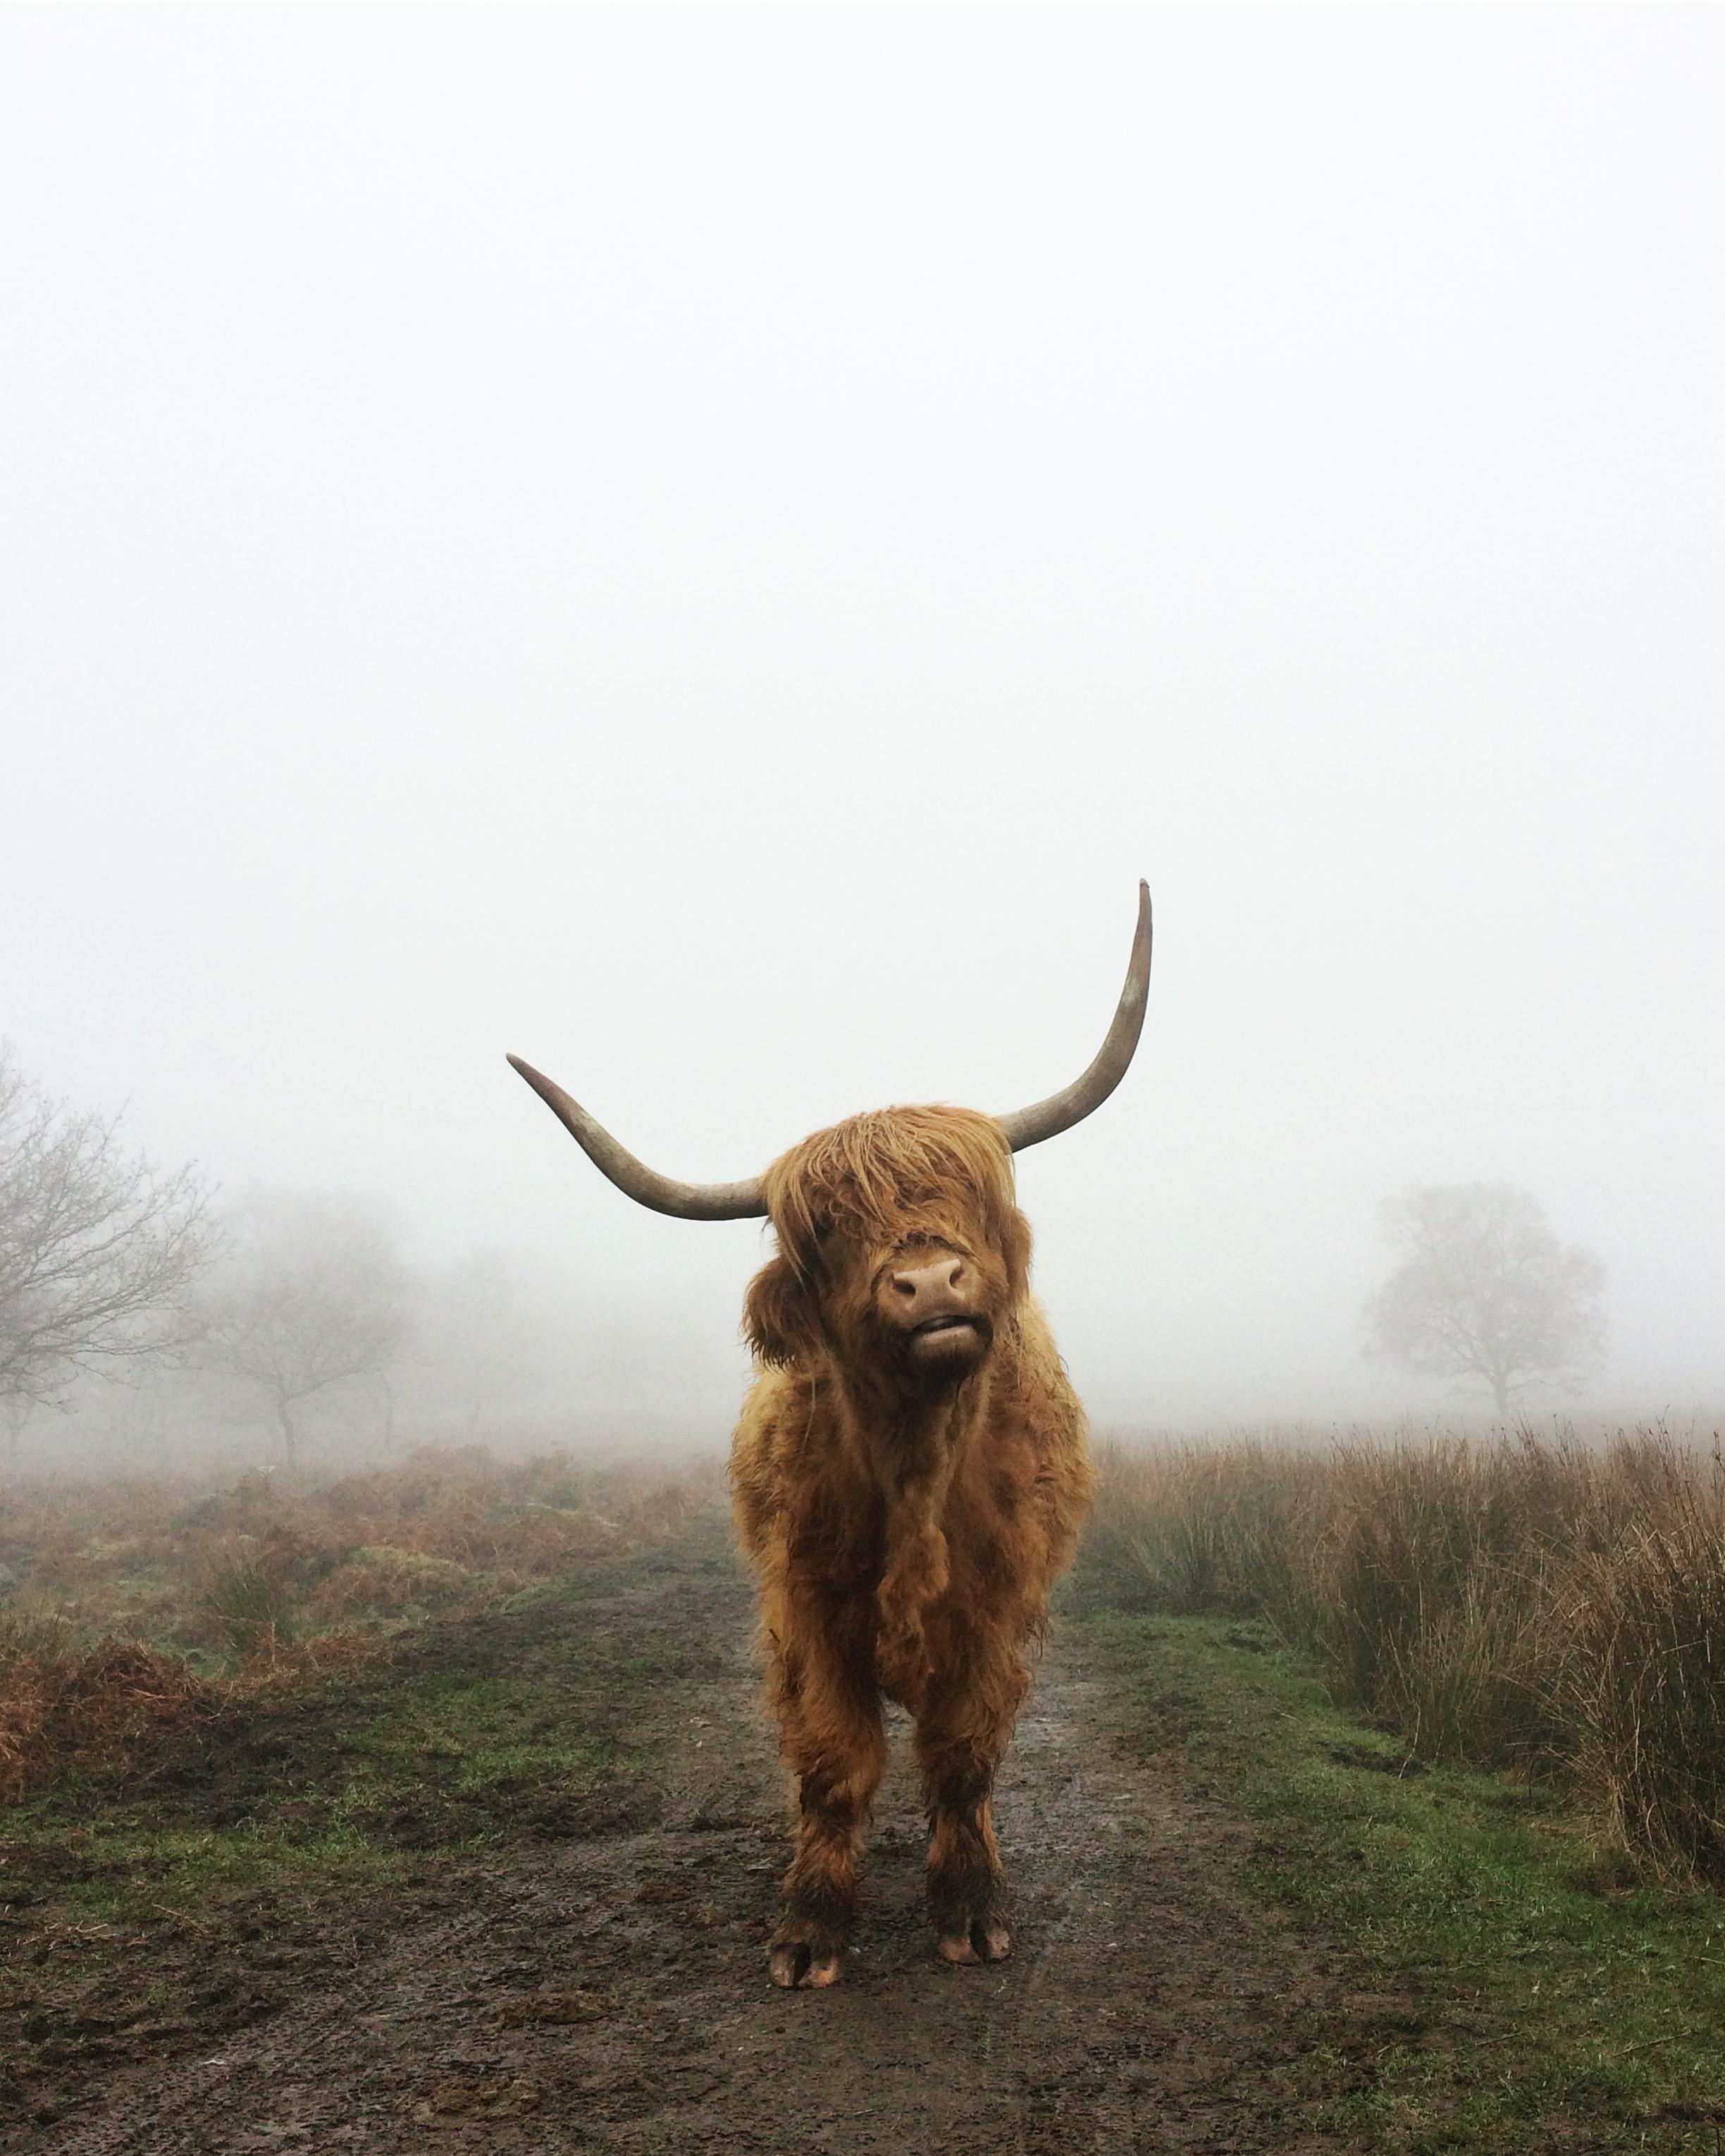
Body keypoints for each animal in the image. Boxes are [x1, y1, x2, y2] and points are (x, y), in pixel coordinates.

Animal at [508, 882, 1150, 1988]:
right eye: (828, 1232)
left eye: (970, 1197)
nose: (931, 1281)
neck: (915, 1466)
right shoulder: (807, 1610)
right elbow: (832, 1764)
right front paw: (810, 1929)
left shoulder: (992, 1608)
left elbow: (963, 1756)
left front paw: (971, 1910)